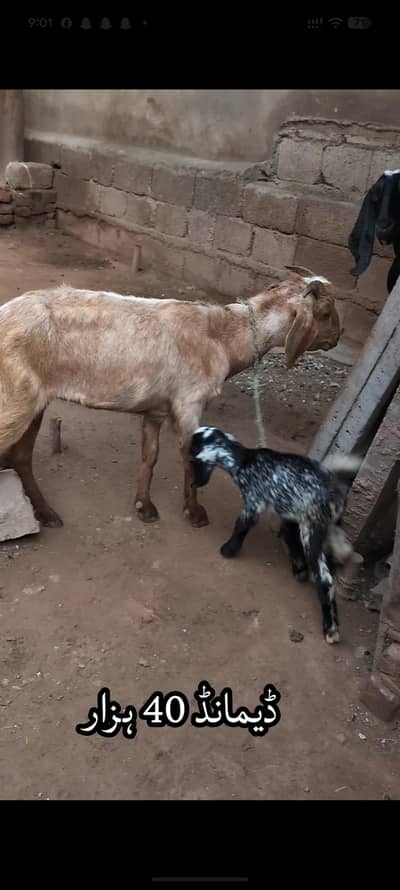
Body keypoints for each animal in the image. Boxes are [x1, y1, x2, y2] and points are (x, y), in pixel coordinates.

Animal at [0, 269, 340, 530]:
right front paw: (195, 513)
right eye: (325, 314)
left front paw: (144, 506)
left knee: (21, 457)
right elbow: (190, 458)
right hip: (16, 400)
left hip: (34, 402)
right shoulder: (189, 403)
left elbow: (150, 457)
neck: (222, 337)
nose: (338, 337)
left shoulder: (156, 410)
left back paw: (46, 514)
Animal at [189, 427, 362, 644]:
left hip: (311, 529)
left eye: (193, 458)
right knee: (344, 549)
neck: (243, 459)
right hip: (329, 525)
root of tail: (332, 488)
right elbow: (290, 540)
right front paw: (299, 570)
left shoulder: (253, 503)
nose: (194, 483)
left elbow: (241, 526)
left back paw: (330, 631)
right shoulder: (289, 515)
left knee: (325, 580)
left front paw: (228, 550)